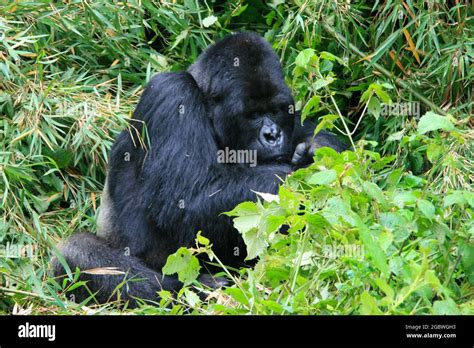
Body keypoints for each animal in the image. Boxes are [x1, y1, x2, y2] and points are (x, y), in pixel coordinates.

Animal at [52, 32, 344, 304]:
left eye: (277, 110)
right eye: (252, 114)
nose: (273, 135)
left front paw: (317, 151)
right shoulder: (172, 94)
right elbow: (188, 200)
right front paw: (299, 177)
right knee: (75, 253)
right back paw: (198, 290)